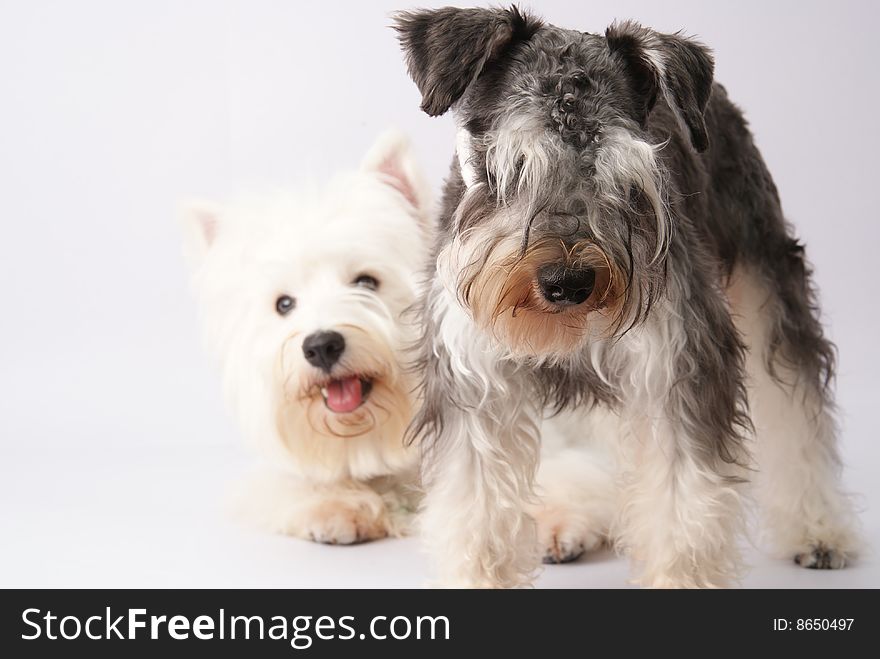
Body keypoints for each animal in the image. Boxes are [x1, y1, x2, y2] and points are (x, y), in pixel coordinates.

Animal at [394, 5, 860, 588]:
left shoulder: (677, 366)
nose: (568, 283)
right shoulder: (475, 383)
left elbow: (684, 503)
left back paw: (819, 530)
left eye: (625, 176)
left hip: (768, 280)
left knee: (796, 406)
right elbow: (478, 512)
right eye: (513, 165)